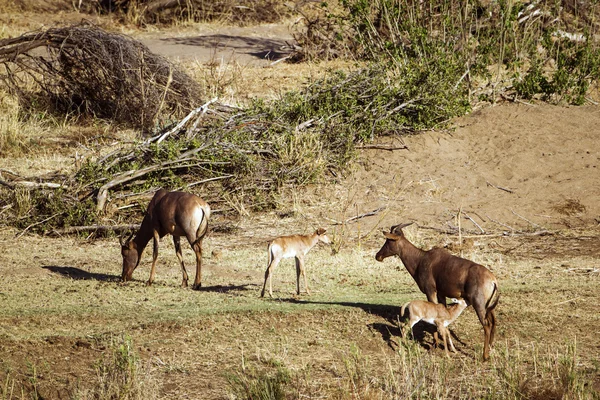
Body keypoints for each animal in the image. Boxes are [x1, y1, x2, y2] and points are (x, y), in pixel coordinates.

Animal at [378, 223, 500, 360]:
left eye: (388, 240)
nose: (378, 256)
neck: (422, 259)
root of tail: (493, 279)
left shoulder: (430, 291)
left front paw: (435, 345)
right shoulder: (441, 294)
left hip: (478, 303)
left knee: (486, 324)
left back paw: (485, 356)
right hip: (488, 305)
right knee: (493, 322)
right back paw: (490, 347)